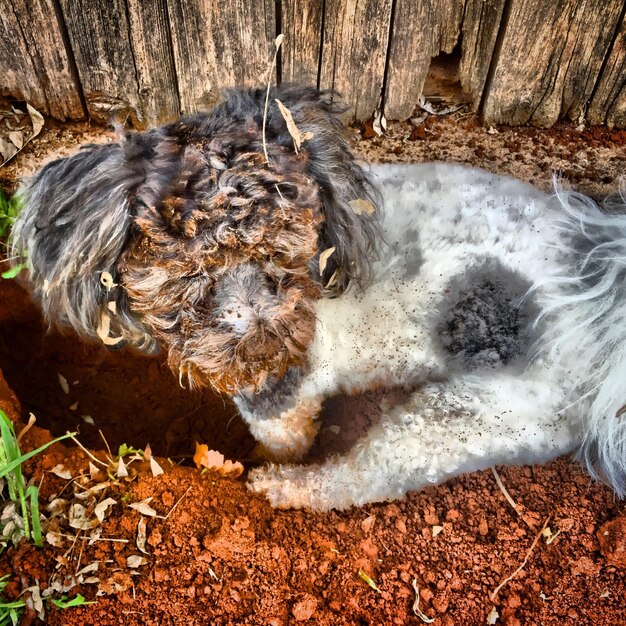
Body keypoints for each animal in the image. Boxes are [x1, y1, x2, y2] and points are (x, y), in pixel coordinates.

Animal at [12, 85, 624, 510]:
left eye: (282, 249)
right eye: (186, 267)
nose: (261, 340)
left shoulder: (283, 399)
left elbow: (285, 434)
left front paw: (257, 463)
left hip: (472, 419)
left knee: (365, 474)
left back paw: (284, 488)